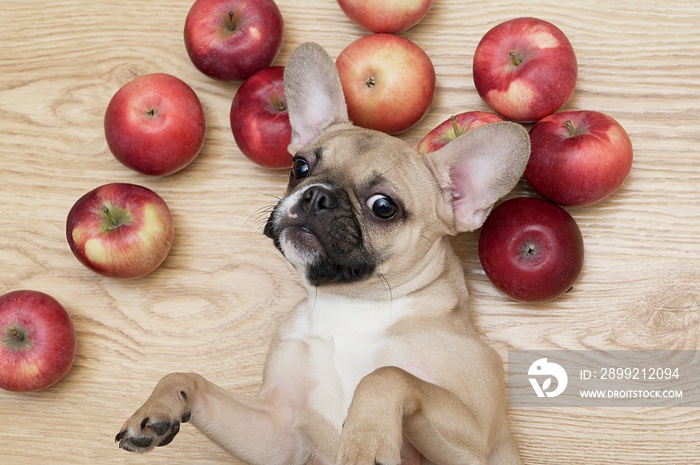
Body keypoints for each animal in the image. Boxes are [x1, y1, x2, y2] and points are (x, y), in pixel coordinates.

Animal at [116, 40, 532, 464]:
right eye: (300, 166)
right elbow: (187, 377)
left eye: (384, 207)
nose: (317, 195)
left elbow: (387, 374)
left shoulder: (476, 446)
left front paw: (366, 441)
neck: (351, 306)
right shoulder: (278, 432)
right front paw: (159, 405)